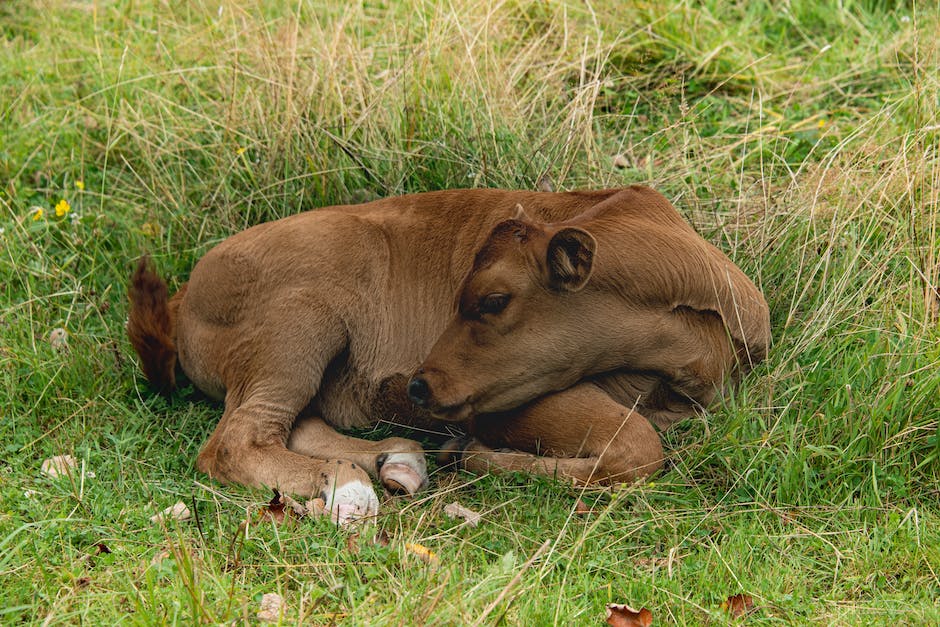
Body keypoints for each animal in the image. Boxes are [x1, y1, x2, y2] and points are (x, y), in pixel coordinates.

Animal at [126, 188, 772, 524]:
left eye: (493, 299)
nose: (417, 386)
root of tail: (187, 288)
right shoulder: (508, 402)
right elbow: (640, 447)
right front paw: (480, 457)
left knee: (290, 425)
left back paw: (394, 459)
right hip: (298, 329)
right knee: (237, 440)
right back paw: (351, 488)